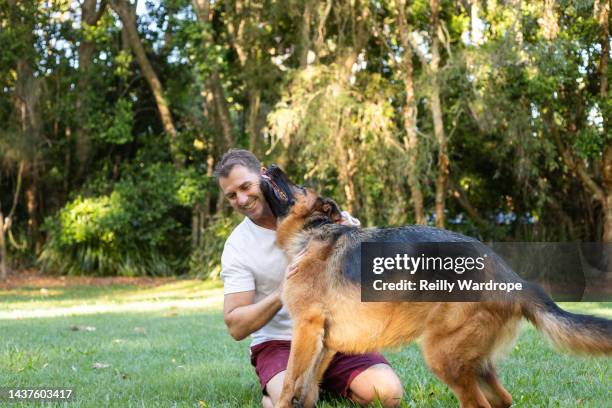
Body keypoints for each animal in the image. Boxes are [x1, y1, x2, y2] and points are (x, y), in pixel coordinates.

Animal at [260, 166, 612, 408]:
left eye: (299, 185)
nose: (271, 165)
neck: (312, 232)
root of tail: (515, 279)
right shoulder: (325, 343)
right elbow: (307, 390)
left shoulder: (306, 330)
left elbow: (290, 385)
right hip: (473, 363)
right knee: (503, 399)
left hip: (443, 357)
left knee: (479, 404)